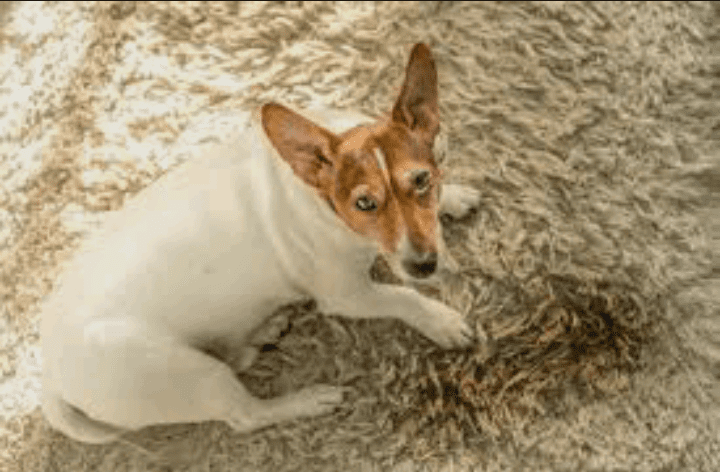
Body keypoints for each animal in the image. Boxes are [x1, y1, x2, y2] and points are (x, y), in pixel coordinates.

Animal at [42, 42, 484, 444]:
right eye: (364, 203)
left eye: (422, 180)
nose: (424, 265)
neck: (322, 201)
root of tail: (50, 379)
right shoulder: (348, 296)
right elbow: (403, 297)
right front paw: (442, 321)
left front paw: (454, 197)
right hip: (193, 376)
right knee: (246, 416)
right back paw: (305, 400)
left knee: (237, 357)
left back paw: (264, 331)